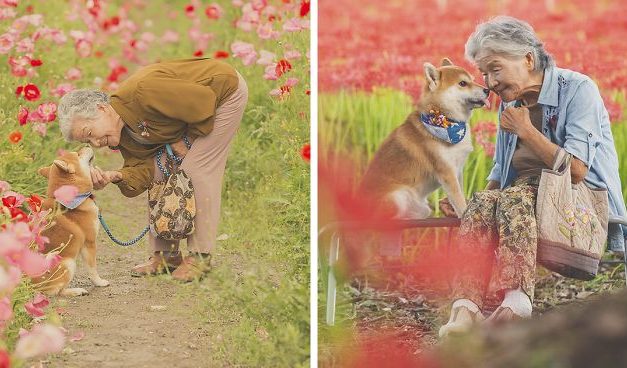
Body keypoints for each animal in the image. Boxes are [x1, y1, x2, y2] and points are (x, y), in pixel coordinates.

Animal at [33, 147, 110, 296]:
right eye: (78, 154)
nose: (87, 145)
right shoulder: (89, 243)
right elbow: (93, 269)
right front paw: (99, 282)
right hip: (68, 263)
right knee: (57, 291)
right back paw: (76, 291)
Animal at [364, 57, 490, 218]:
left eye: (473, 80)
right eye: (462, 83)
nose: (487, 89)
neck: (446, 121)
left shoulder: (458, 169)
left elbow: (461, 194)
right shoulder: (447, 172)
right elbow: (458, 200)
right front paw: (464, 215)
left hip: (421, 207)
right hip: (399, 197)